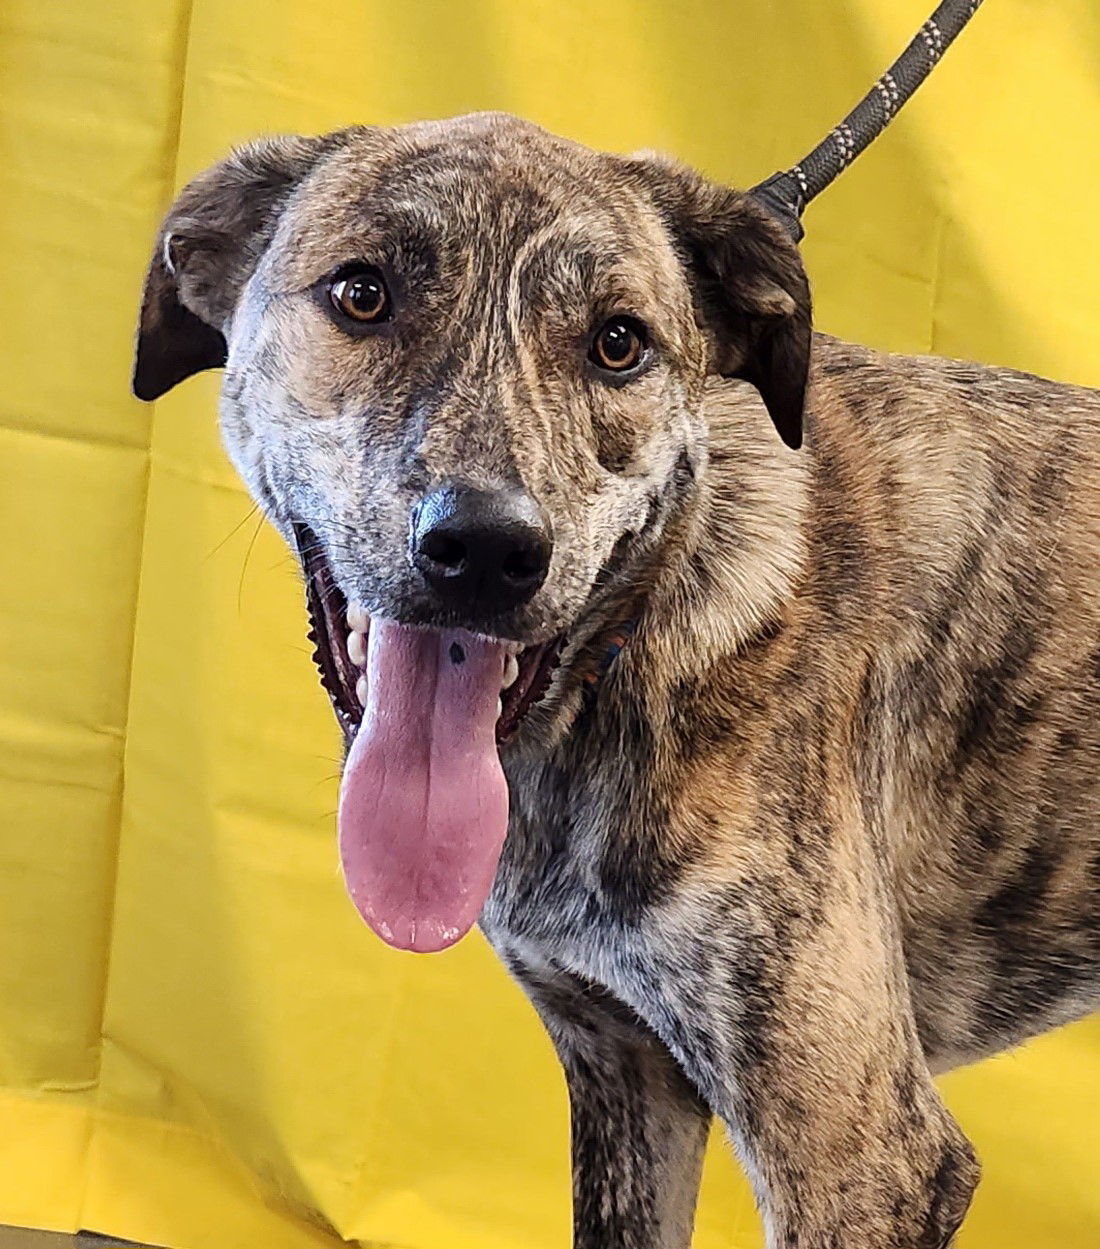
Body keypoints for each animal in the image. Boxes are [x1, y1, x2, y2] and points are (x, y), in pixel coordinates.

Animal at [132, 112, 1093, 1244]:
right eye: (361, 292)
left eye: (618, 341)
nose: (485, 551)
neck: (637, 645)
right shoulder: (622, 1065)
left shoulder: (865, 1158)